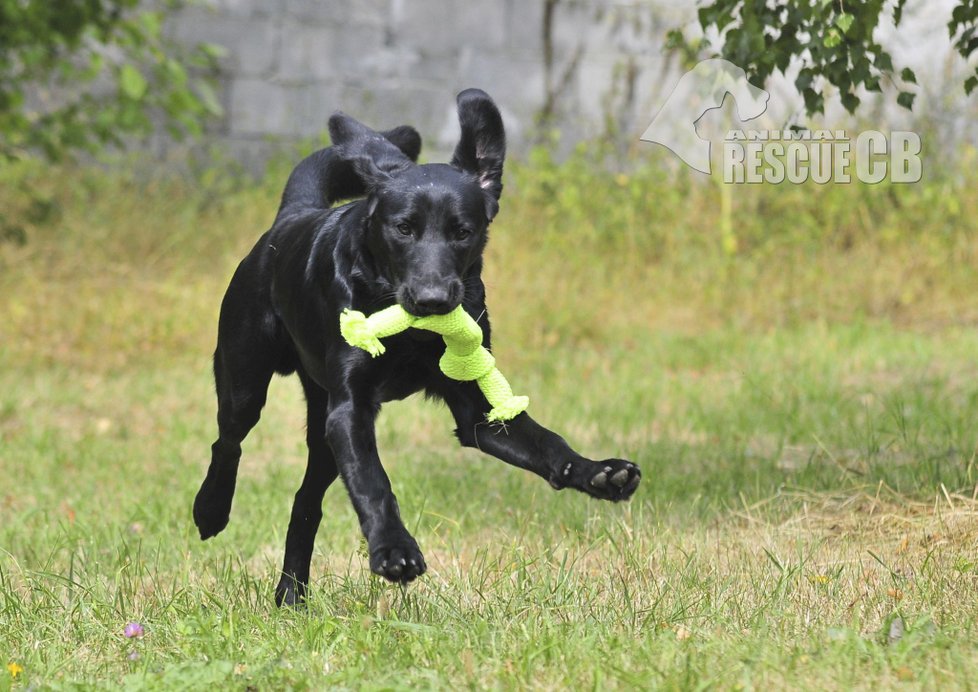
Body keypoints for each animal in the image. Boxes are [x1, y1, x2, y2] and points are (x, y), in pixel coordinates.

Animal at [194, 88, 644, 604]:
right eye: (403, 229)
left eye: (463, 231)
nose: (432, 301)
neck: (412, 334)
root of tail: (293, 214)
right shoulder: (350, 411)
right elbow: (374, 483)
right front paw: (394, 551)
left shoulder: (475, 413)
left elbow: (547, 442)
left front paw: (598, 472)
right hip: (246, 381)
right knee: (228, 442)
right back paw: (210, 511)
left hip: (321, 429)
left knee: (305, 502)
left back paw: (291, 595)